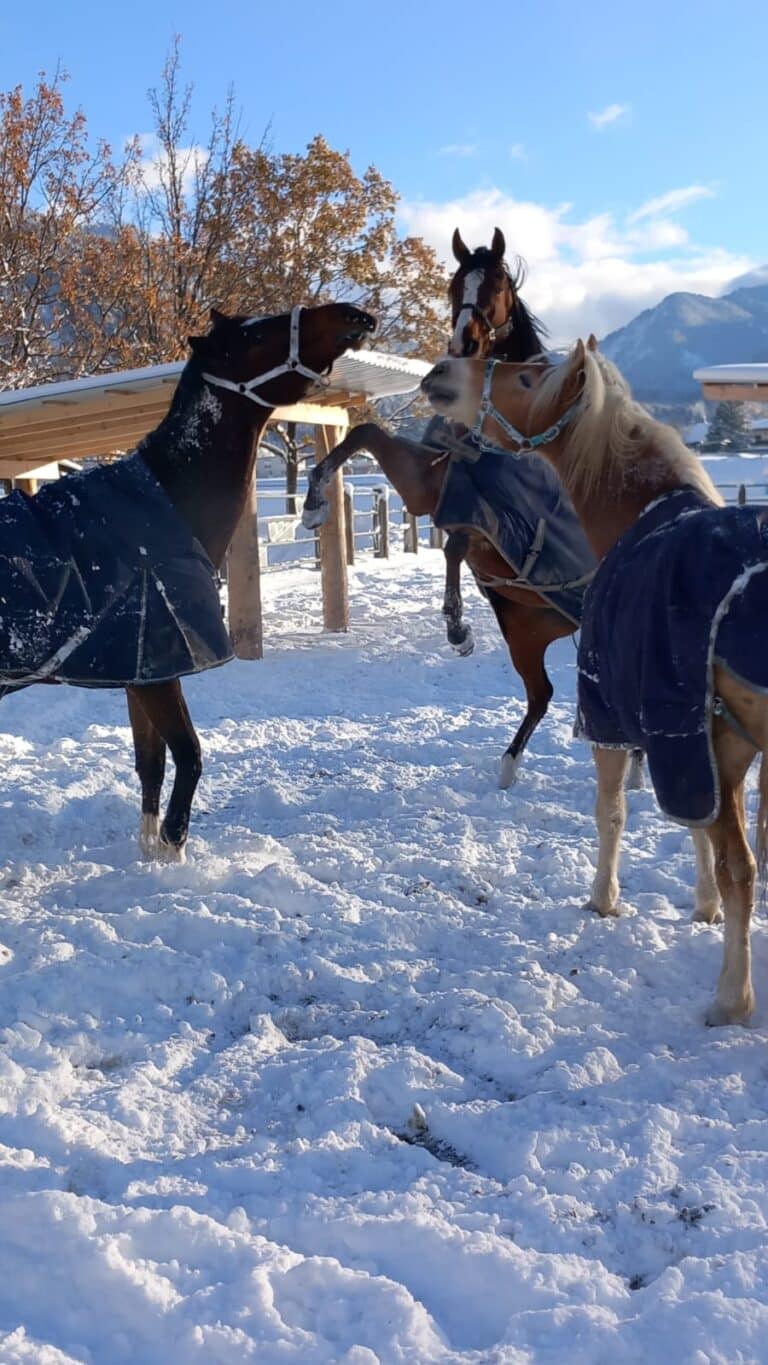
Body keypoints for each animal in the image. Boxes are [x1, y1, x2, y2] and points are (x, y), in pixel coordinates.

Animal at [1, 302, 376, 860]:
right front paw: (173, 846)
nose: (353, 314)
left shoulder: (142, 675)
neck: (169, 501)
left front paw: (149, 849)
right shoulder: (162, 663)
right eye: (256, 335)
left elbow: (151, 763)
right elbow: (189, 754)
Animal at [420, 341, 768, 1027]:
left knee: (743, 867)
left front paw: (603, 899)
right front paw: (703, 907)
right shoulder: (685, 741)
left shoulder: (622, 721)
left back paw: (730, 999)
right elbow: (692, 829)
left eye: (529, 377)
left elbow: (613, 813)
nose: (442, 371)